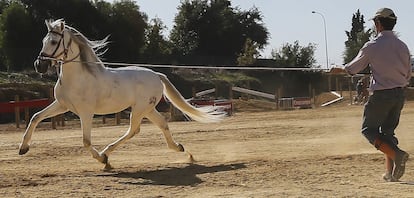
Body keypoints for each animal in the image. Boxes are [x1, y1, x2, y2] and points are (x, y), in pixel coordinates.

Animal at [19, 19, 223, 170]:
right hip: (147, 109)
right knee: (162, 124)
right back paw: (181, 149)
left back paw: (106, 155)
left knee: (134, 130)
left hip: (140, 109)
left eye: (54, 42)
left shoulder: (86, 112)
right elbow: (35, 117)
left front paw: (102, 160)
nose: (39, 65)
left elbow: (86, 141)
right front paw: (23, 148)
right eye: (43, 41)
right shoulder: (62, 105)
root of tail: (157, 74)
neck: (78, 77)